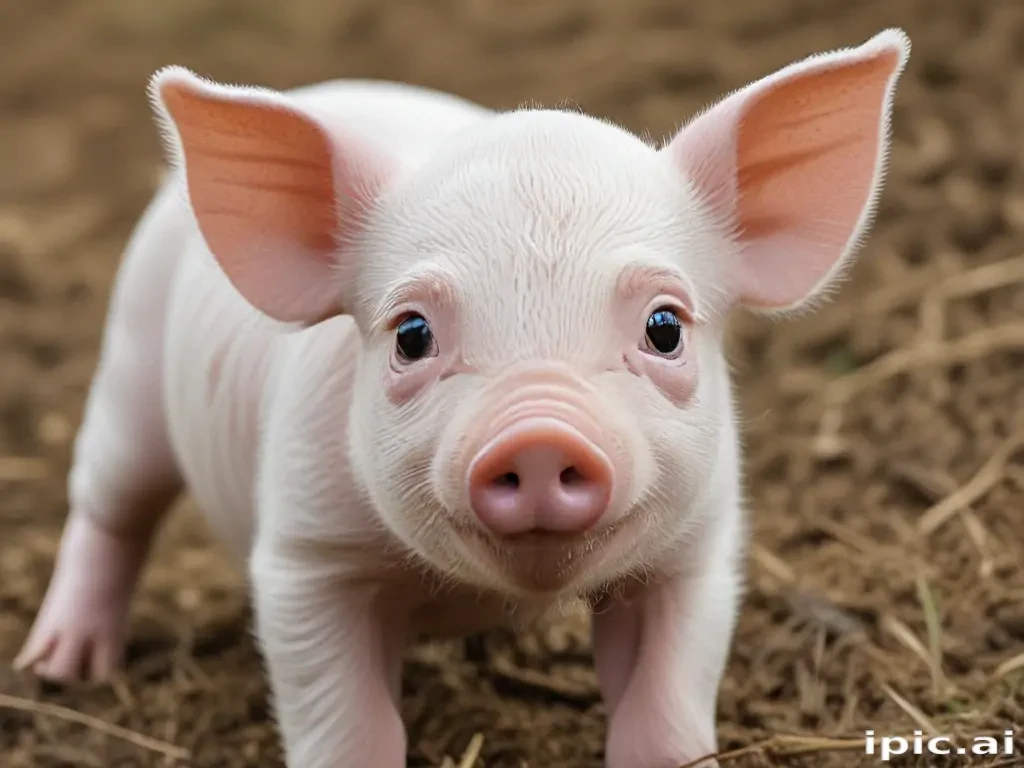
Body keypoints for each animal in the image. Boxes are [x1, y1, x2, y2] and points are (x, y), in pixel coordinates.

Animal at [14, 28, 910, 768]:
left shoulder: (697, 551)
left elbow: (664, 714)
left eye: (665, 328)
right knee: (111, 505)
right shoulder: (304, 558)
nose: (541, 434)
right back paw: (59, 664)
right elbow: (348, 729)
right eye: (412, 335)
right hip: (130, 361)